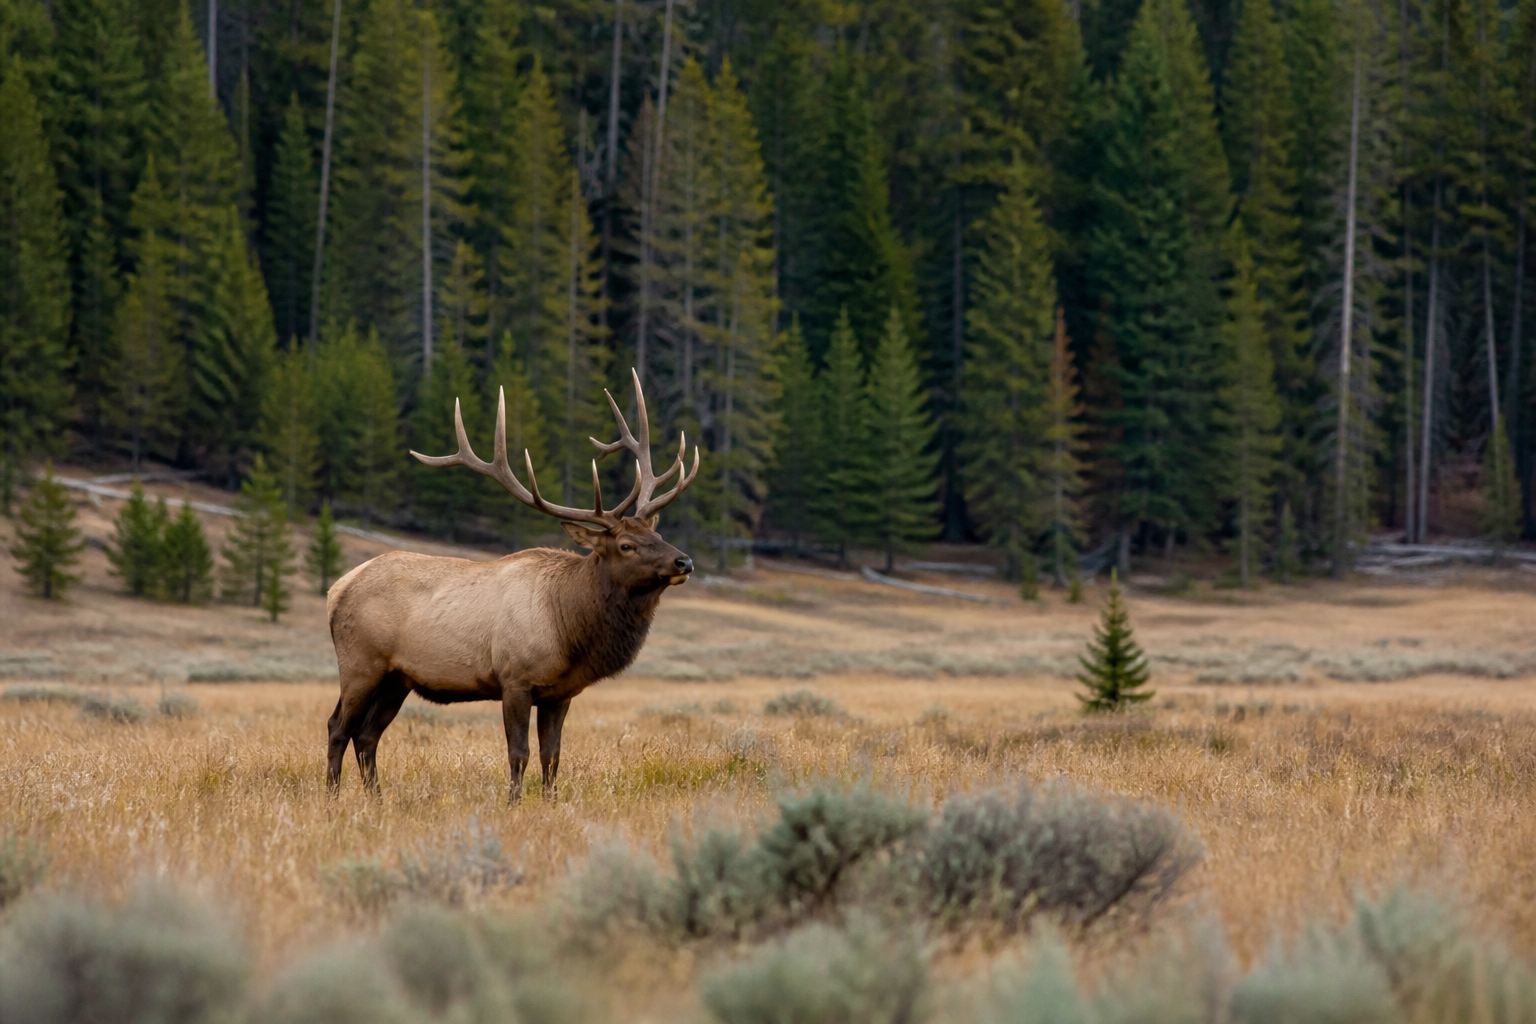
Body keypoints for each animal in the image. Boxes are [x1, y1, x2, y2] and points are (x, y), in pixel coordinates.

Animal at [324, 370, 699, 803]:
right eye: (626, 545)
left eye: (658, 534)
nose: (684, 561)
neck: (569, 627)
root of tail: (337, 589)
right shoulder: (514, 678)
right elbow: (518, 752)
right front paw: (513, 803)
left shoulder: (560, 693)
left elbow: (552, 756)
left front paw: (551, 803)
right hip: (361, 662)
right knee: (339, 727)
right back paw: (332, 797)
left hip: (397, 678)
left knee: (367, 735)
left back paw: (377, 799)